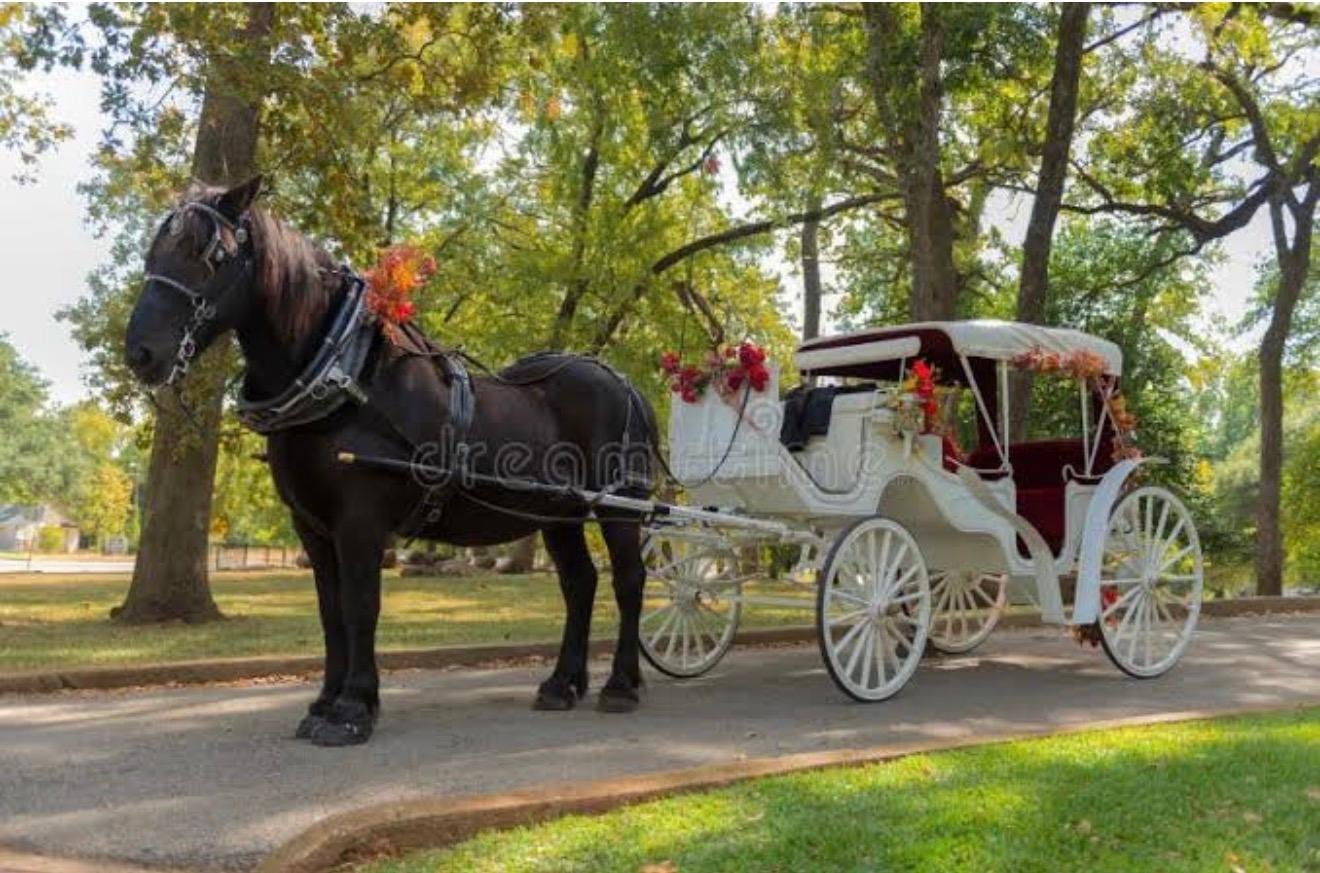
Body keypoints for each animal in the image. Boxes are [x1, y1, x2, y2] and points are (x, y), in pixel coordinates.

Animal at [124, 177, 657, 746]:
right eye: (153, 251)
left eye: (212, 254)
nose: (141, 352)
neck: (349, 379)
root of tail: (625, 384)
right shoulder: (312, 527)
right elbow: (331, 611)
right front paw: (324, 701)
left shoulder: (361, 520)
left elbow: (361, 606)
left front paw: (353, 708)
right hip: (557, 514)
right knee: (580, 584)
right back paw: (561, 684)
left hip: (619, 505)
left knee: (628, 581)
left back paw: (621, 685)